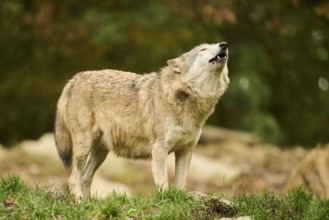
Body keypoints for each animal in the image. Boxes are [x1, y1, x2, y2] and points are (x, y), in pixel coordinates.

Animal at [54, 41, 228, 201]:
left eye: (214, 44)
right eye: (203, 49)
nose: (224, 44)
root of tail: (74, 78)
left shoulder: (185, 150)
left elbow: (181, 185)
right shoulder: (159, 148)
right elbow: (163, 183)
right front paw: (165, 202)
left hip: (101, 153)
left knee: (85, 178)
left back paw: (89, 204)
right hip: (84, 147)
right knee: (73, 178)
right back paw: (79, 202)